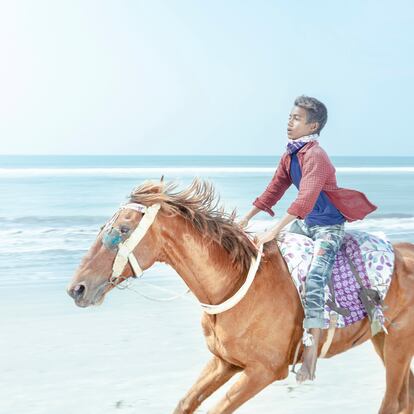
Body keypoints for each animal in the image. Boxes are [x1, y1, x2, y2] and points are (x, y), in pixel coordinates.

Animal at [66, 180, 414, 412]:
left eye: (121, 231)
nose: (76, 289)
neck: (234, 285)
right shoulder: (225, 363)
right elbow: (186, 403)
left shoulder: (263, 372)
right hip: (382, 341)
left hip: (397, 344)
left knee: (392, 402)